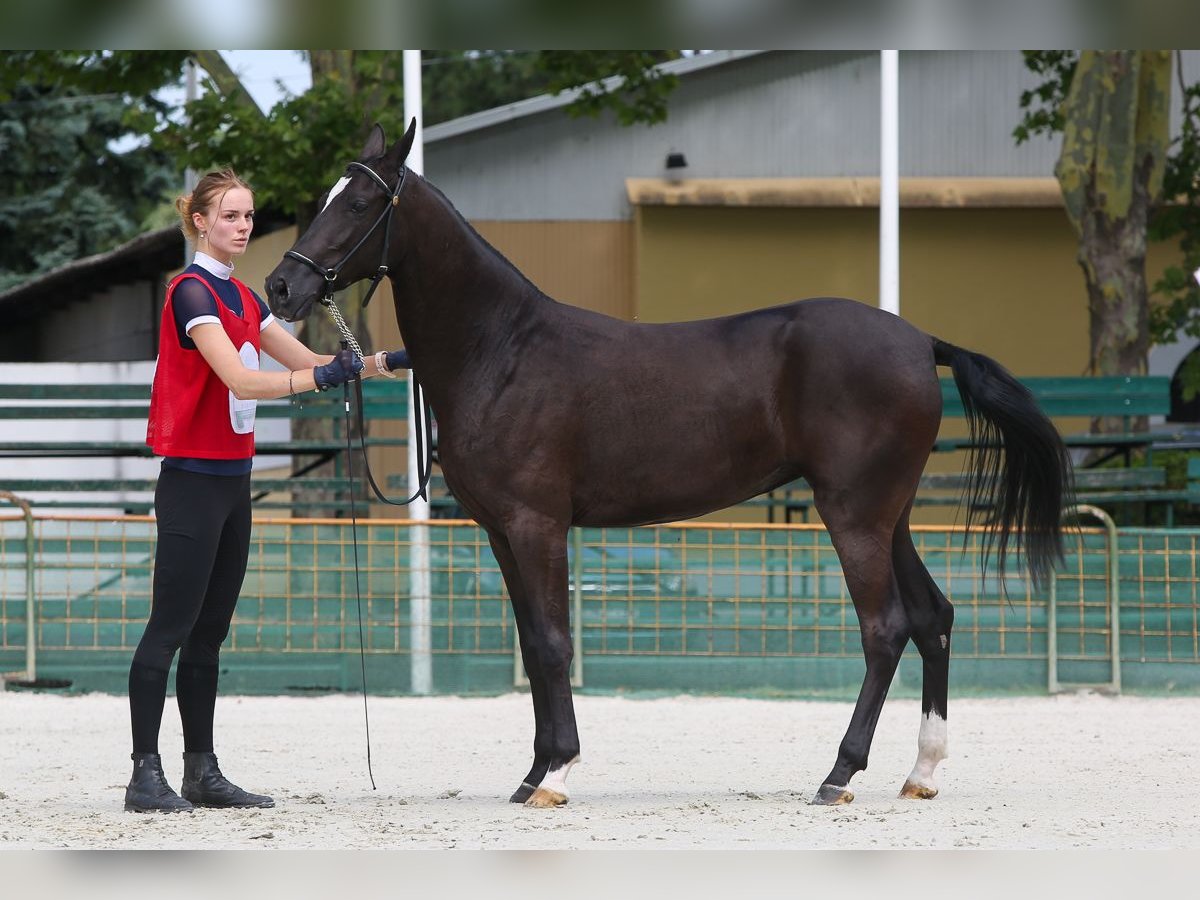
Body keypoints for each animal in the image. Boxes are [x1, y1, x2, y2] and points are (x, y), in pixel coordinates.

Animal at [267, 121, 1075, 811]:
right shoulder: (500, 531)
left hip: (854, 517)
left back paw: (838, 775)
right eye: (328, 197)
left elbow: (554, 643)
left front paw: (556, 773)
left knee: (886, 628)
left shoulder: (537, 525)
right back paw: (921, 772)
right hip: (890, 514)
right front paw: (532, 773)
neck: (503, 349)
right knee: (934, 617)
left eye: (362, 201)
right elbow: (532, 643)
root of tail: (919, 340)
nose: (281, 286)